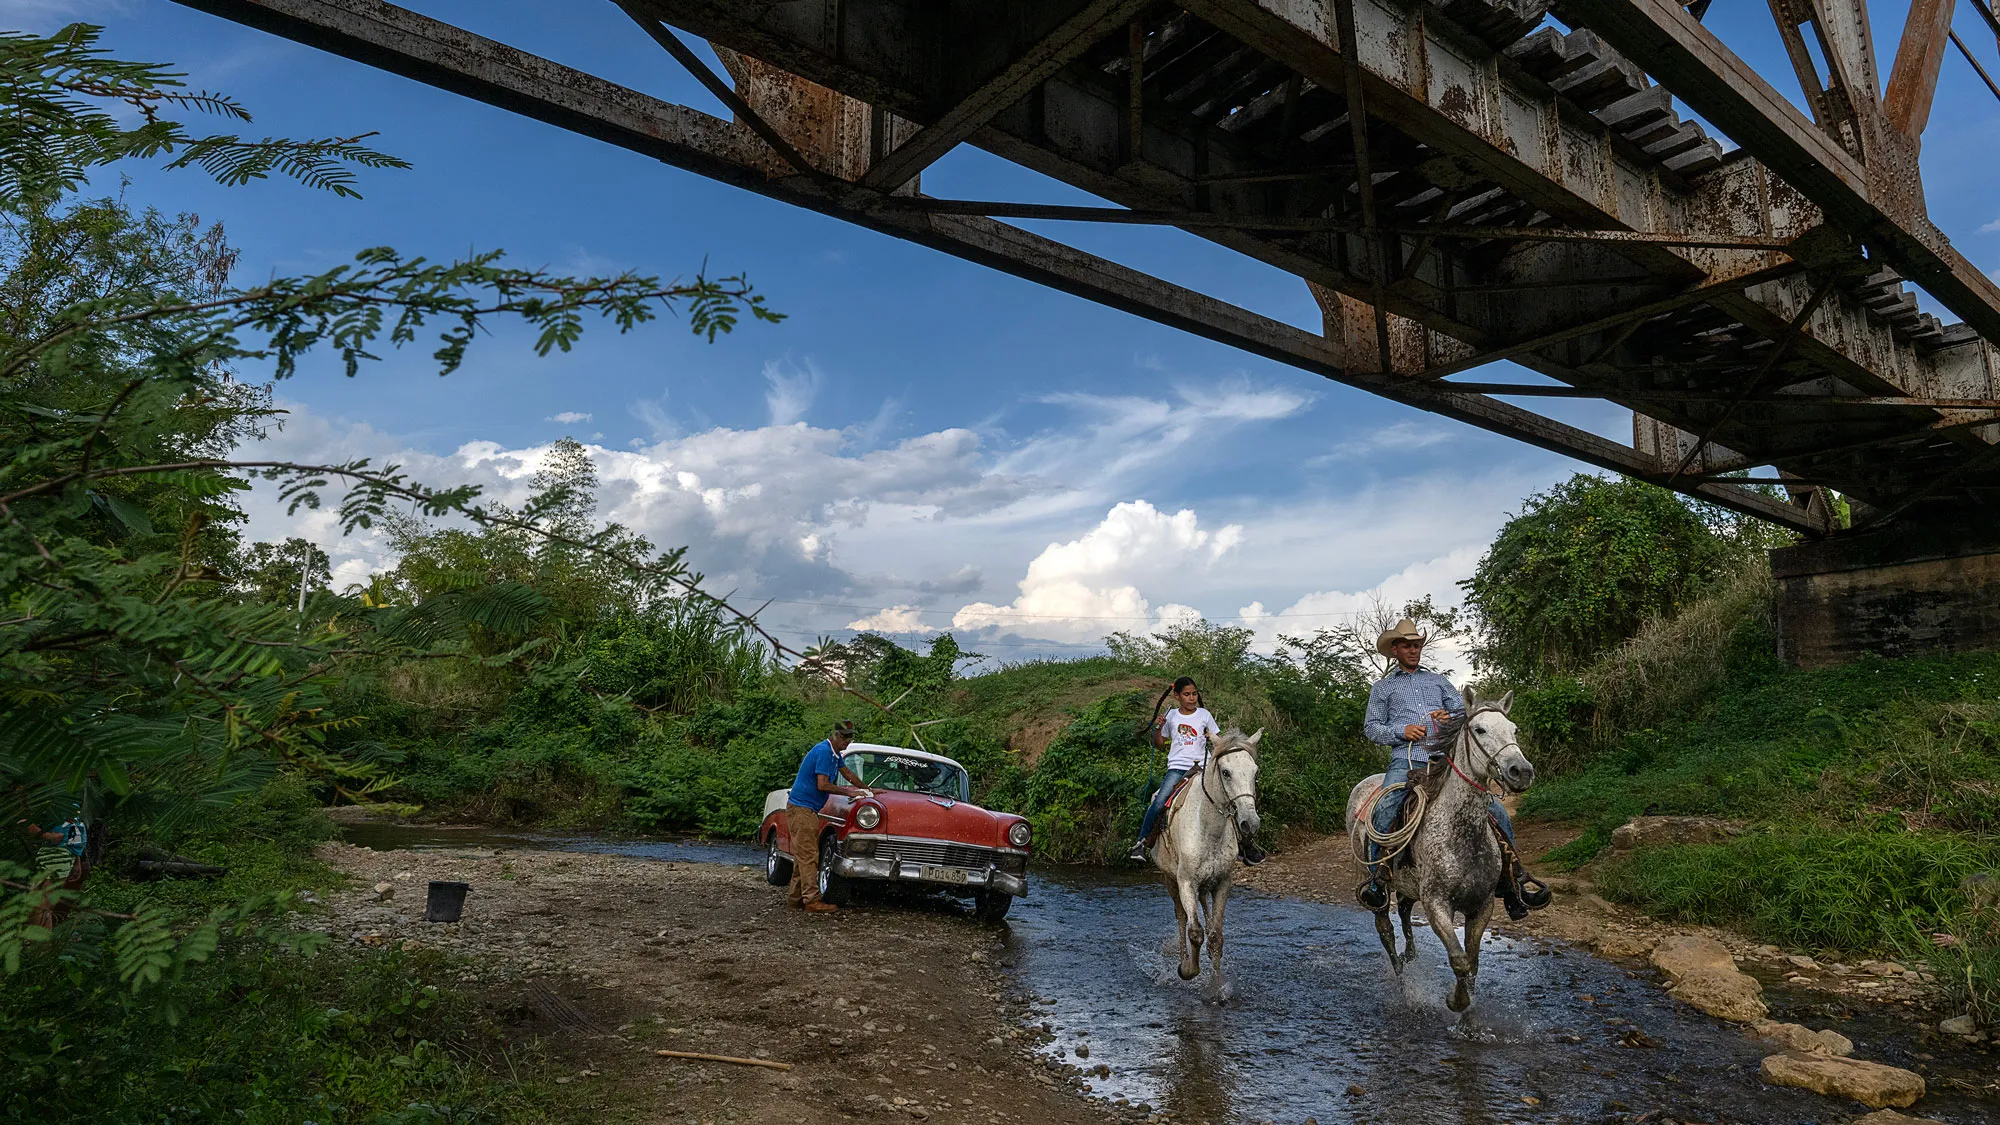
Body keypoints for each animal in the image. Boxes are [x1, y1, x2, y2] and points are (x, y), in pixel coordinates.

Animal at [1152, 728, 1256, 980]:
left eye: (1255, 773)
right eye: (1226, 773)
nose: (1250, 823)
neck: (1209, 828)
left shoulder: (1223, 883)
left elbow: (1216, 936)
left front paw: (1216, 984)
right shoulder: (1186, 882)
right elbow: (1195, 932)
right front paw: (1187, 969)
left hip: (1205, 884)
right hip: (1170, 880)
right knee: (1181, 917)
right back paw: (1183, 957)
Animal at [1352, 688, 1536, 1012]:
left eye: (1513, 729)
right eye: (1480, 730)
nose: (1521, 771)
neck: (1461, 833)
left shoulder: (1482, 905)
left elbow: (1472, 963)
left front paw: (1468, 1010)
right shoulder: (1437, 904)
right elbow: (1459, 960)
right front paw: (1455, 1001)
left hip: (1408, 886)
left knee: (1404, 912)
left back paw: (1411, 955)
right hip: (1376, 887)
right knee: (1385, 929)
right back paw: (1403, 981)